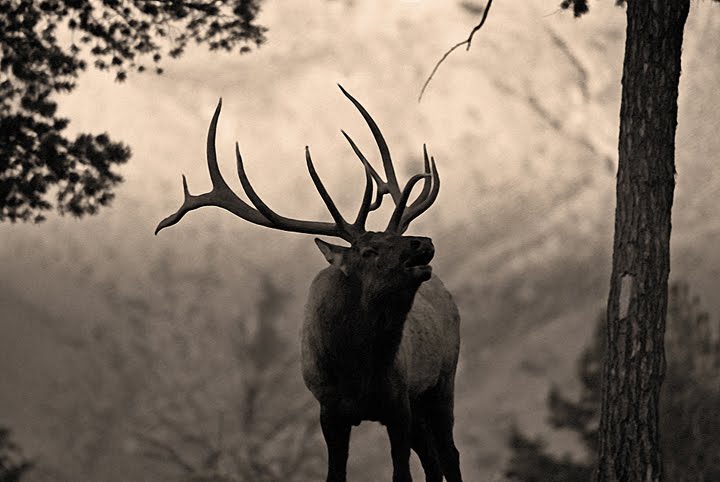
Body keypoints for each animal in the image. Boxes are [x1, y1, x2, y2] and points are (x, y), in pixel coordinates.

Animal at [155, 86, 464, 482]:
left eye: (398, 237)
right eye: (369, 250)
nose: (422, 243)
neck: (357, 367)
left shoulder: (397, 404)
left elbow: (402, 474)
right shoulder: (329, 411)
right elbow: (336, 474)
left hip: (441, 382)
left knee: (449, 455)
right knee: (434, 459)